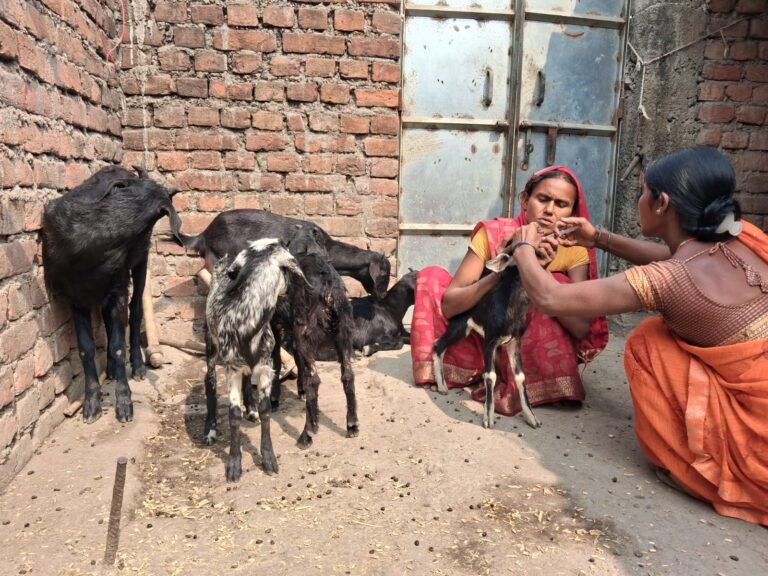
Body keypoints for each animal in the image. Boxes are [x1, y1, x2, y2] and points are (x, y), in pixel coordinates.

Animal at [41, 166, 182, 423]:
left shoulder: (118, 289)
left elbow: (118, 345)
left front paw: (125, 405)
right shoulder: (73, 297)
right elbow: (85, 348)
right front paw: (91, 405)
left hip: (140, 264)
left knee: (135, 311)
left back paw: (137, 367)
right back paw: (112, 371)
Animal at [204, 238, 308, 480]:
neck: (247, 319)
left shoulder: (265, 367)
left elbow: (266, 409)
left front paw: (269, 458)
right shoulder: (231, 368)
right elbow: (233, 415)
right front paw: (234, 465)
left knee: (246, 380)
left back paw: (250, 410)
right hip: (212, 348)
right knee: (209, 383)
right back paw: (210, 430)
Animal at [432, 253, 541, 430]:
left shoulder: (515, 341)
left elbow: (520, 376)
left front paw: (532, 418)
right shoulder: (490, 341)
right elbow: (490, 375)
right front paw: (488, 418)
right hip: (460, 326)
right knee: (438, 344)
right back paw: (442, 387)